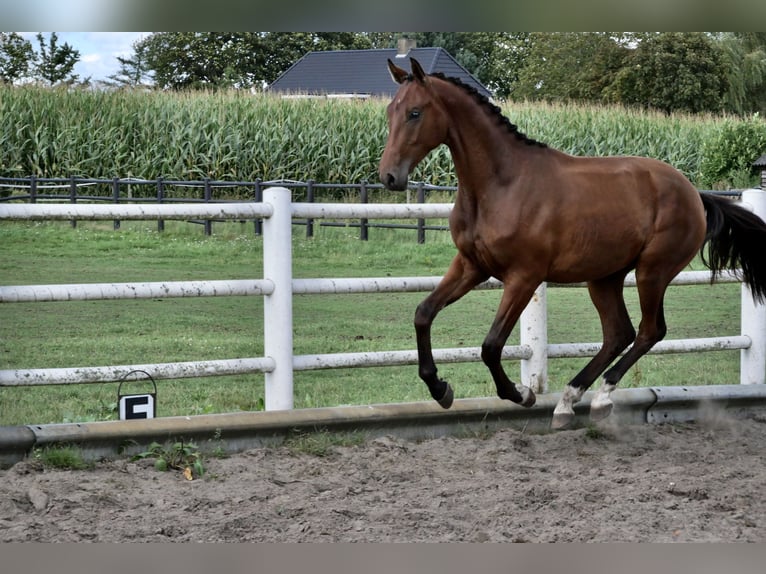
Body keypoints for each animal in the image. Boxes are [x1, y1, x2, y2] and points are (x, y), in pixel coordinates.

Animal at [380, 58, 766, 430]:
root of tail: (694, 194)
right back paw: (569, 401)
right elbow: (423, 313)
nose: (389, 177)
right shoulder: (471, 266)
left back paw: (600, 398)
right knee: (618, 333)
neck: (502, 185)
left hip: (651, 273)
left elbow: (491, 346)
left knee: (649, 331)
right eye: (389, 112)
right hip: (605, 277)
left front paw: (521, 394)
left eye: (415, 112)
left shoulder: (524, 277)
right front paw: (440, 389)